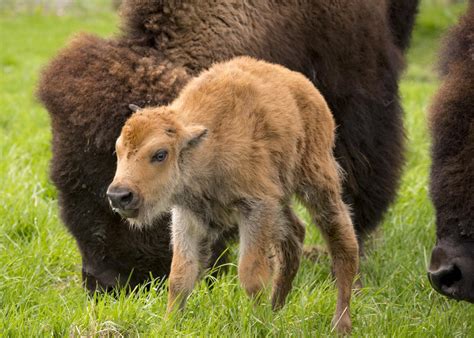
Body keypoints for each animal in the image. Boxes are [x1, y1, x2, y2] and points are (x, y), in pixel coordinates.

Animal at [108, 56, 360, 334]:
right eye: (118, 150)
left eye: (160, 154)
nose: (119, 195)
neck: (204, 146)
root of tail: (309, 91)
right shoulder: (188, 215)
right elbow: (180, 277)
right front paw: (169, 325)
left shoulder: (256, 207)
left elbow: (251, 275)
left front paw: (258, 326)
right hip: (280, 200)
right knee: (294, 236)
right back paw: (276, 310)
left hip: (317, 184)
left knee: (342, 241)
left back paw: (340, 324)